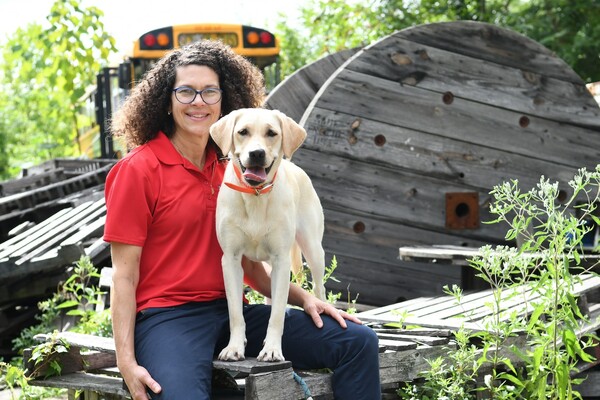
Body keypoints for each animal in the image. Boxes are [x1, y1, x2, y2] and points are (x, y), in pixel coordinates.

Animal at [209, 107, 326, 362]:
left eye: (271, 133)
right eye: (243, 132)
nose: (256, 153)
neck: (255, 195)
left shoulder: (282, 259)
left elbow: (277, 315)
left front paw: (272, 349)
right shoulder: (231, 259)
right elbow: (235, 313)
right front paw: (234, 347)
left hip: (313, 249)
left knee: (318, 288)